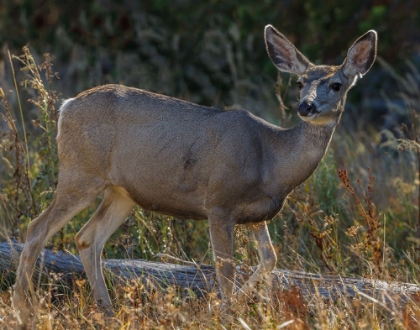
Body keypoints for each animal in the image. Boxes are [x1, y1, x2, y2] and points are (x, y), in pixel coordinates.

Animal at [12, 24, 378, 326]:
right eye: (300, 83)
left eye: (336, 84)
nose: (306, 107)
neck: (272, 160)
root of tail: (66, 106)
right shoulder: (219, 202)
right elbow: (226, 269)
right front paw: (225, 313)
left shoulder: (259, 214)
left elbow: (269, 259)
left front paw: (225, 308)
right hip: (80, 172)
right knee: (36, 228)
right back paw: (23, 310)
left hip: (121, 192)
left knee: (87, 238)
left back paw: (109, 312)